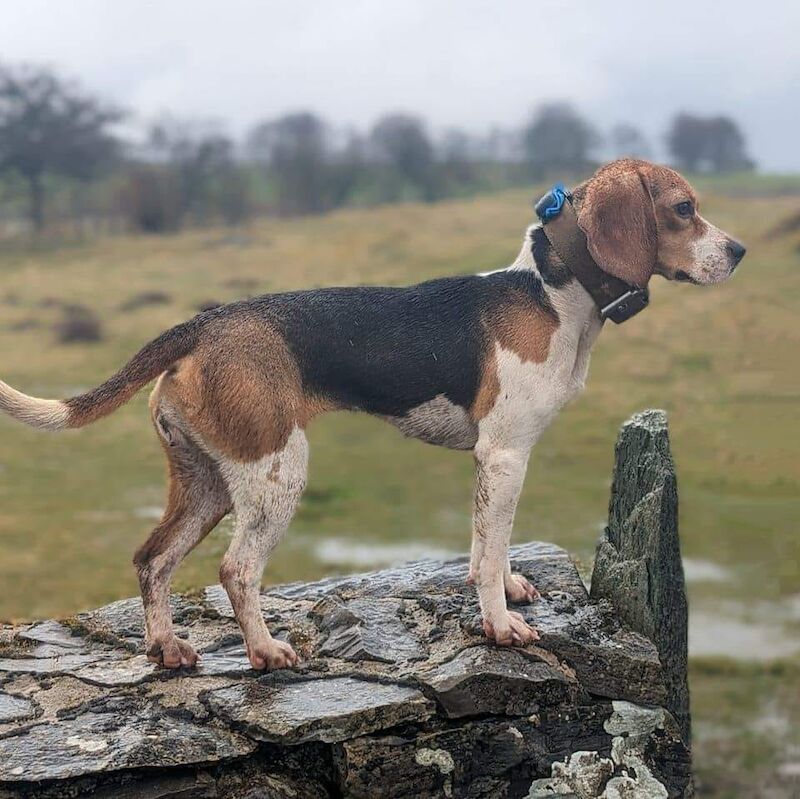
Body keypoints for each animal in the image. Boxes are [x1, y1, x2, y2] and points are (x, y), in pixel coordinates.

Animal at [0, 159, 744, 672]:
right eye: (684, 209)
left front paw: (503, 588)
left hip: (207, 481)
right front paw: (501, 627)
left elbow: (487, 547)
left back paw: (168, 647)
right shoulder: (504, 453)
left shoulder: (495, 461)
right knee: (236, 570)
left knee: (152, 559)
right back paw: (266, 652)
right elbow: (490, 550)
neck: (552, 290)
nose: (738, 252)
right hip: (275, 475)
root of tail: (205, 323)